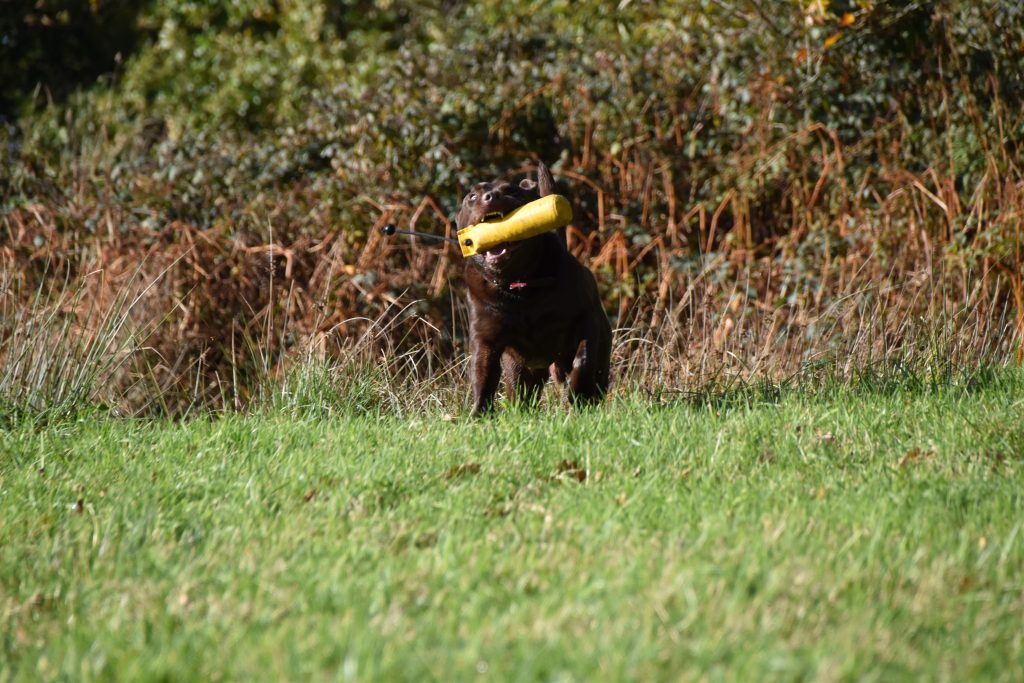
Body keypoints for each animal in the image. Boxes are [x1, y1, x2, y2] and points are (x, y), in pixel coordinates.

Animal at [460, 163, 610, 417]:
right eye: (472, 196)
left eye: (510, 190)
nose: (490, 197)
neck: (519, 286)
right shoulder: (485, 338)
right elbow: (482, 376)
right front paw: (477, 415)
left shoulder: (585, 320)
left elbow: (584, 359)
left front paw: (577, 393)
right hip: (520, 370)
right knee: (521, 393)